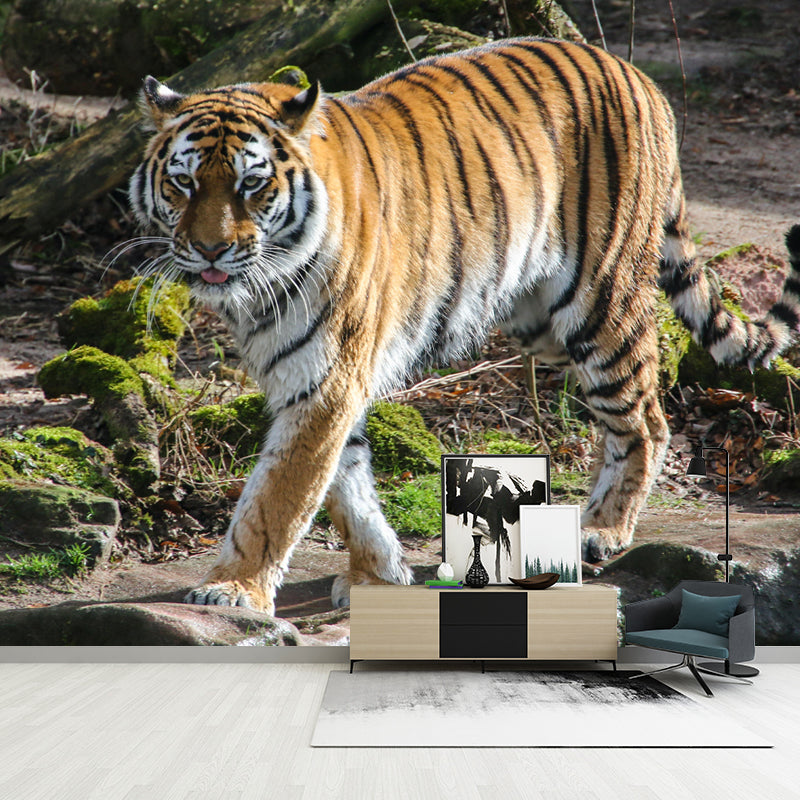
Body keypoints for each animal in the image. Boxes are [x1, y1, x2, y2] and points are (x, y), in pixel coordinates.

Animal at [129, 37, 800, 614]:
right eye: (183, 182)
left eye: (252, 184)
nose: (210, 251)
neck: (260, 286)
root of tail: (632, 73)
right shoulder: (314, 381)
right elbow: (345, 487)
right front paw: (379, 574)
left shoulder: (325, 379)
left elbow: (279, 497)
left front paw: (233, 589)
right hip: (541, 323)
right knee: (627, 411)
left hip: (599, 303)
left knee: (646, 420)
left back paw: (603, 530)